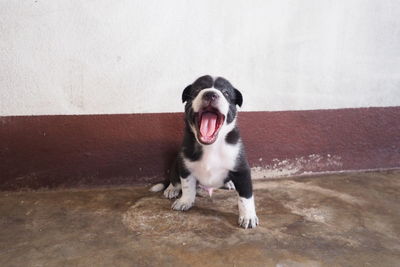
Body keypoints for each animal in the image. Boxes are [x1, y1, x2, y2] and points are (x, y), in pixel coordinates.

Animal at [151, 76, 260, 230]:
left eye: (226, 93)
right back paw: (171, 189)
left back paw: (229, 183)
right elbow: (187, 185)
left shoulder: (241, 169)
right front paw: (185, 201)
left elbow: (246, 197)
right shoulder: (185, 165)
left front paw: (248, 216)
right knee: (175, 180)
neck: (211, 146)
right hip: (176, 163)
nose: (210, 94)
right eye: (197, 90)